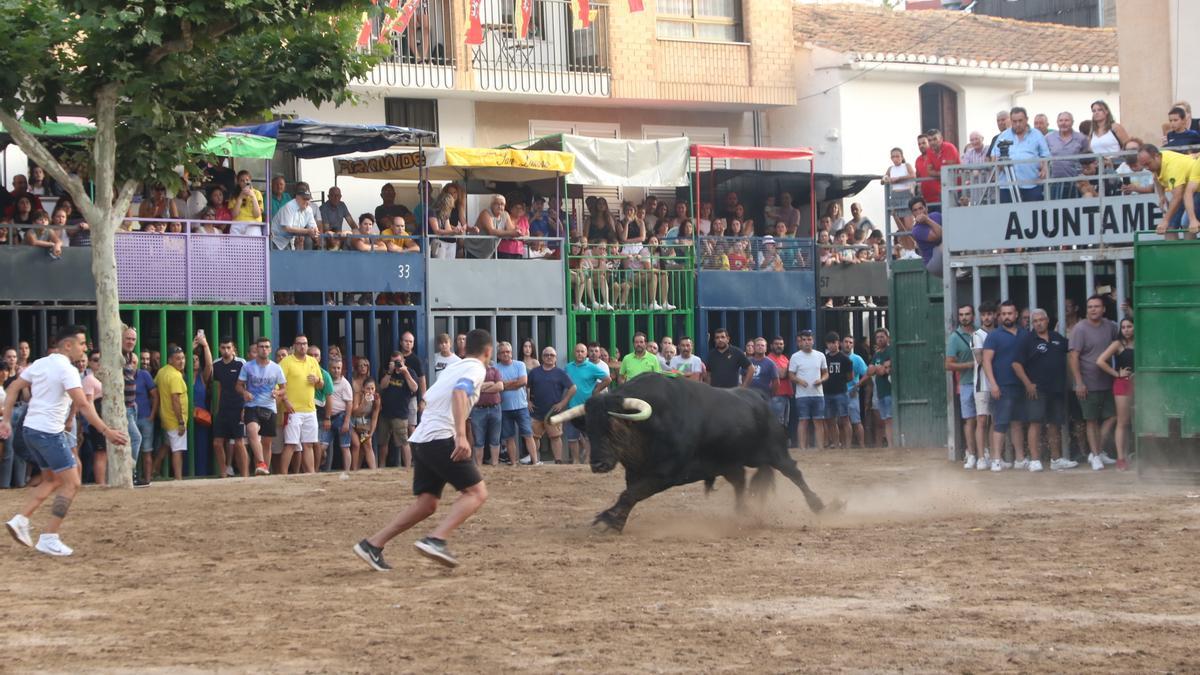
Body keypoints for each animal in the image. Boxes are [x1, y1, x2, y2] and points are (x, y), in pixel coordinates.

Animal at [549, 372, 840, 530]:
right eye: (589, 430)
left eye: (614, 427)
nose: (597, 464)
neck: (649, 424)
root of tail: (760, 400)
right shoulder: (635, 472)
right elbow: (629, 494)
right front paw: (615, 520)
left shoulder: (667, 474)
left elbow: (632, 494)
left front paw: (608, 519)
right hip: (729, 463)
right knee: (741, 483)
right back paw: (742, 513)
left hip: (776, 452)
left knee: (795, 473)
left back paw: (822, 507)